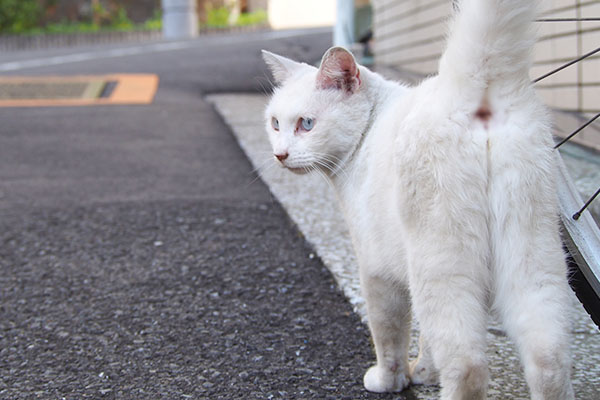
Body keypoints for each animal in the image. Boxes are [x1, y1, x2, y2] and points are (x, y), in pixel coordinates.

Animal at [260, 0, 576, 396]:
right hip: (532, 257)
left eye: (306, 124)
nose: (280, 154)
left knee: (468, 366)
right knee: (549, 360)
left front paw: (390, 381)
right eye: (275, 123)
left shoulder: (376, 271)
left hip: (440, 264)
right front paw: (426, 373)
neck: (368, 133)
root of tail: (467, 86)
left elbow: (388, 336)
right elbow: (425, 339)